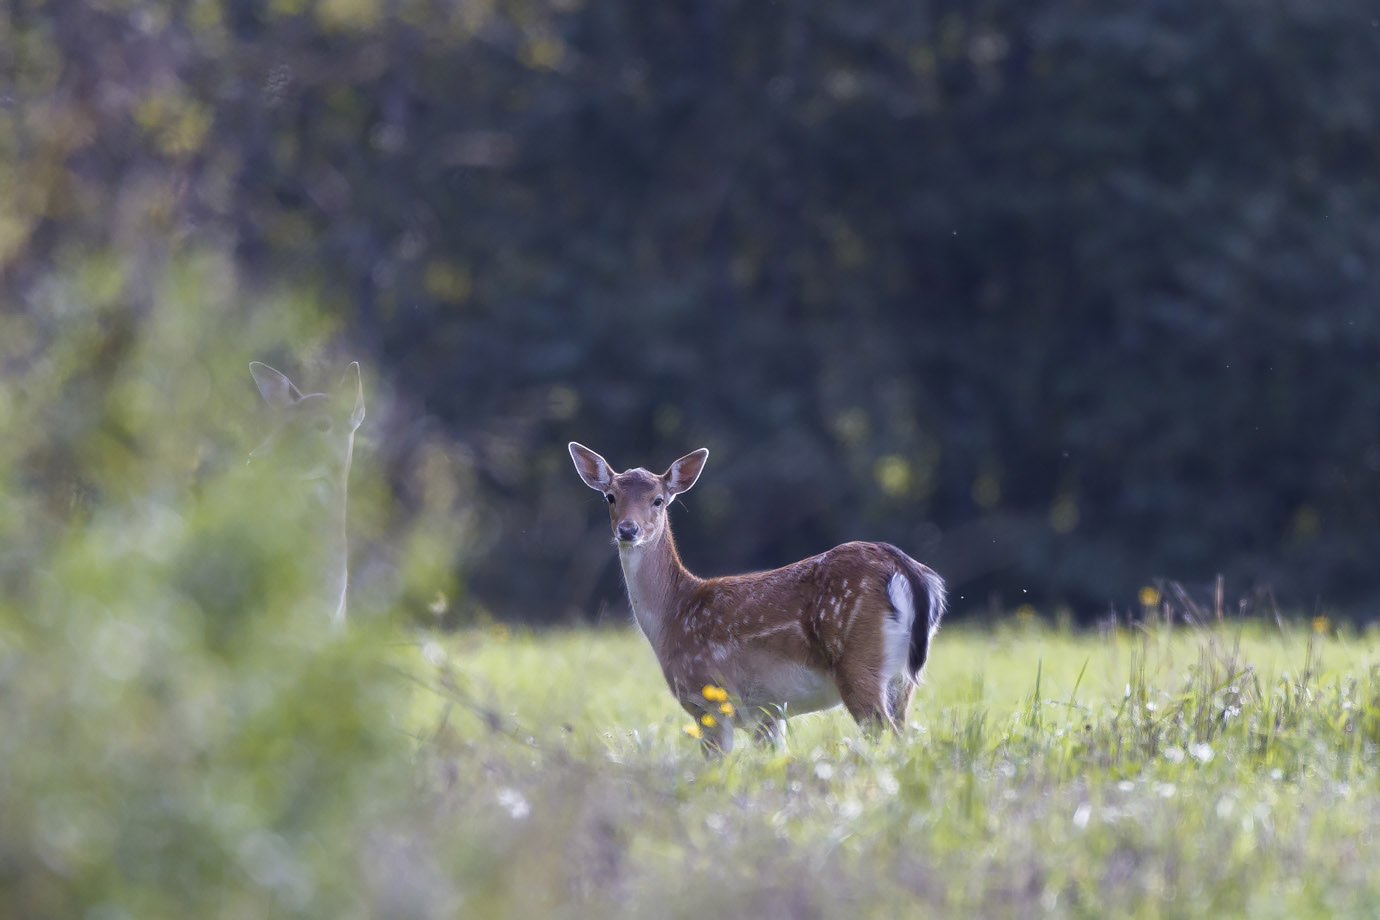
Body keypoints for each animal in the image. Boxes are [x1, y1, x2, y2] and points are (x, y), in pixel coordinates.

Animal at [565, 441, 943, 750]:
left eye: (658, 500)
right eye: (610, 497)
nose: (628, 530)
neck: (673, 614)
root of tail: (904, 566)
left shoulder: (710, 698)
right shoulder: (767, 712)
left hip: (859, 662)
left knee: (887, 737)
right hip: (902, 679)